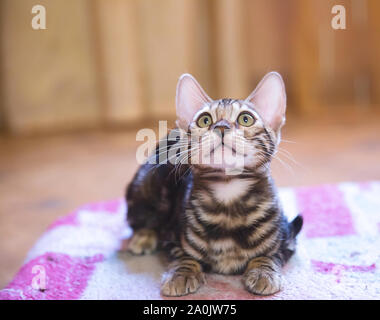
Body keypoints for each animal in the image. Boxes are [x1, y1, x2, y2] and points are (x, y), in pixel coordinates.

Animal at [125, 72, 302, 298]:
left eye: (246, 119)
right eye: (205, 120)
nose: (221, 127)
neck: (228, 193)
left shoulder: (288, 240)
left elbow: (270, 255)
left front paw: (264, 273)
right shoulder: (171, 237)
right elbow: (183, 256)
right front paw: (181, 274)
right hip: (147, 184)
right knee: (139, 219)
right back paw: (144, 236)